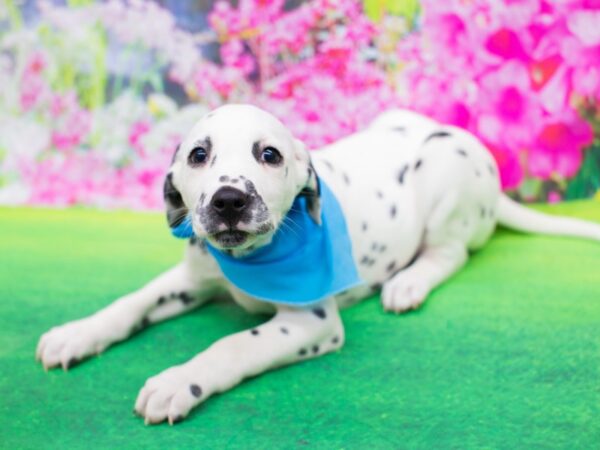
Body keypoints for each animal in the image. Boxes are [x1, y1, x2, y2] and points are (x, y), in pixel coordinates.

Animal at [36, 103, 600, 424]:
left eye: (269, 155)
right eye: (198, 155)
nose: (228, 200)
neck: (247, 259)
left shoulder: (310, 322)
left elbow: (232, 346)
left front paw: (178, 382)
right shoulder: (191, 278)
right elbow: (131, 302)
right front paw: (77, 333)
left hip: (442, 170)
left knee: (450, 252)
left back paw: (409, 283)